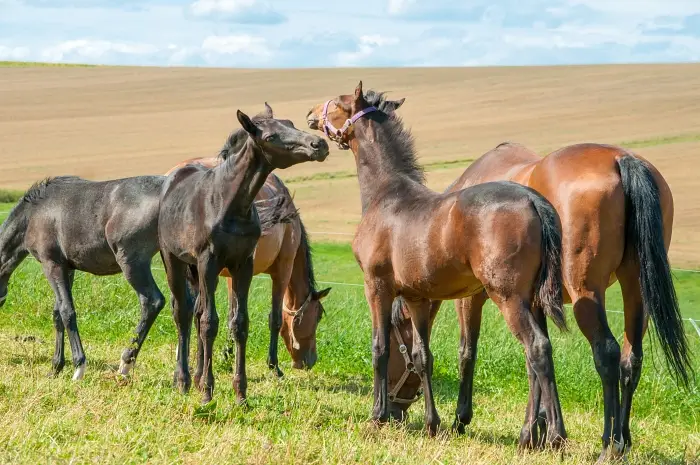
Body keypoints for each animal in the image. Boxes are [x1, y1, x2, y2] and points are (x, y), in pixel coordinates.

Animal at [158, 104, 329, 404]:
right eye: (271, 136)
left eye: (290, 123)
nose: (318, 144)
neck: (228, 203)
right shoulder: (228, 265)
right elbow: (218, 322)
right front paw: (209, 390)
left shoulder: (240, 266)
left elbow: (238, 322)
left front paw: (239, 391)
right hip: (175, 262)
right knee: (182, 313)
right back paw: (183, 380)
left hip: (195, 271)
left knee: (194, 313)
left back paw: (196, 374)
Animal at [305, 82, 568, 446]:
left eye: (341, 103)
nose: (311, 114)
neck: (387, 195)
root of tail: (533, 200)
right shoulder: (417, 297)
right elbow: (422, 356)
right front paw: (432, 423)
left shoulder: (377, 286)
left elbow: (380, 347)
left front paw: (376, 416)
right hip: (532, 300)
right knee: (536, 356)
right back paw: (532, 433)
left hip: (508, 297)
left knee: (537, 348)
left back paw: (551, 435)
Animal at [386, 139, 693, 461]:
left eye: (396, 345)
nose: (395, 413)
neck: (442, 222)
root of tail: (622, 159)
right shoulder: (534, 301)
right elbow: (536, 360)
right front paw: (540, 430)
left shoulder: (473, 298)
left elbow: (468, 353)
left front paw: (462, 419)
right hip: (635, 288)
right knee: (630, 360)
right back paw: (624, 440)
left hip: (586, 293)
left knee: (606, 353)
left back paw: (610, 444)